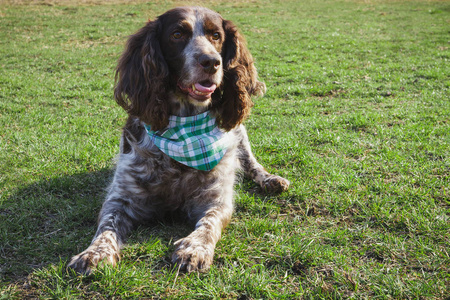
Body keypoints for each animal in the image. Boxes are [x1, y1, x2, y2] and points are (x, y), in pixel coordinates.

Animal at [68, 6, 290, 274]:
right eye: (177, 34)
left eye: (216, 35)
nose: (211, 62)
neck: (185, 132)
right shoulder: (121, 198)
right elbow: (107, 226)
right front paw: (94, 253)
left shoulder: (215, 198)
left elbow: (209, 223)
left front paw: (194, 249)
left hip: (240, 135)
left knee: (250, 163)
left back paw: (270, 179)